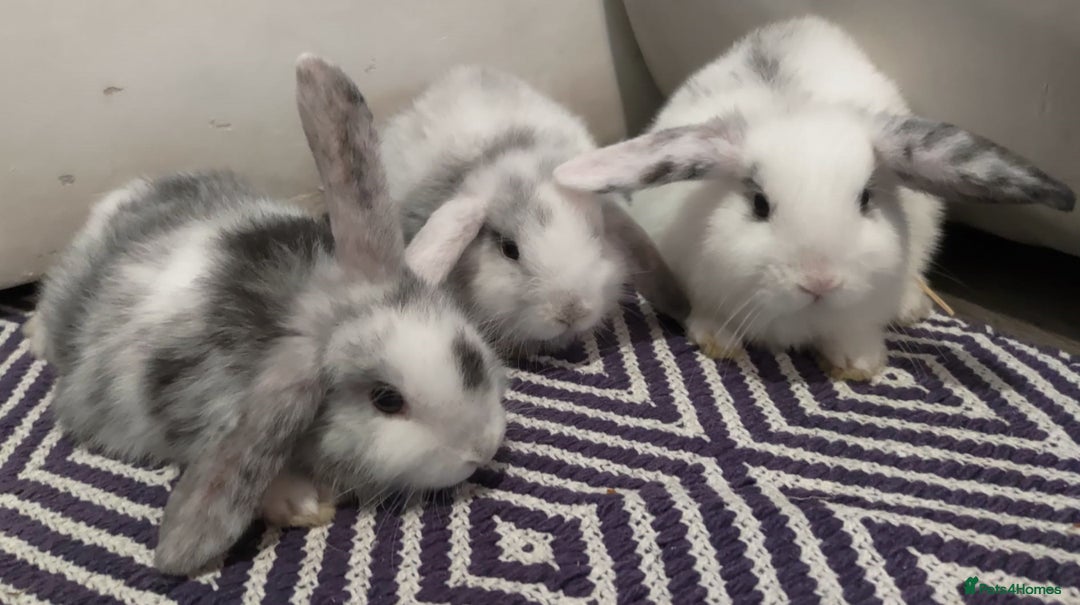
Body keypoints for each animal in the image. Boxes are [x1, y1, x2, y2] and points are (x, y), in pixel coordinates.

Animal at [29, 54, 508, 575]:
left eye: (469, 355)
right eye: (386, 400)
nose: (482, 449)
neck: (302, 300)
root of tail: (117, 202)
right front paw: (302, 503)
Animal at [553, 16, 1075, 380]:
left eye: (866, 199)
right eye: (759, 204)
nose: (819, 282)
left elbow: (854, 331)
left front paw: (859, 362)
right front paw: (718, 341)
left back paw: (911, 307)